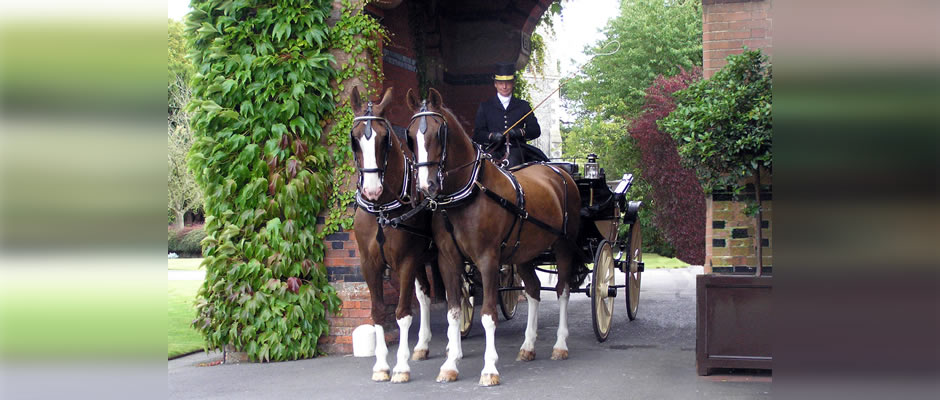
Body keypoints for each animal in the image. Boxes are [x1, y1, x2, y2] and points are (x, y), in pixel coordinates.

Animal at [350, 86, 438, 382]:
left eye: (384, 138)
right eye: (355, 139)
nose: (372, 190)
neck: (381, 210)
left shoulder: (406, 261)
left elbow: (402, 313)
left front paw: (400, 366)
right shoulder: (369, 264)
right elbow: (378, 312)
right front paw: (380, 366)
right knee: (425, 294)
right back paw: (422, 344)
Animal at [408, 87, 584, 384]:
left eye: (438, 132)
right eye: (410, 136)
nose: (425, 185)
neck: (468, 194)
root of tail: (559, 171)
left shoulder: (487, 259)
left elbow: (489, 314)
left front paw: (489, 369)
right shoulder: (448, 261)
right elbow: (454, 312)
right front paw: (450, 365)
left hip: (564, 246)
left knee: (562, 290)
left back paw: (560, 345)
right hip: (524, 252)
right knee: (534, 290)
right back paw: (528, 346)